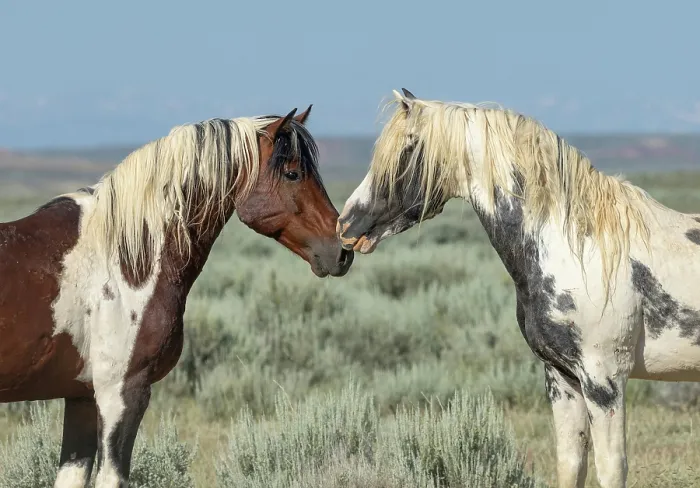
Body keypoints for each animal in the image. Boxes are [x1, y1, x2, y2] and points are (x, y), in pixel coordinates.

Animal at [337, 88, 700, 488]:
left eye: (408, 147)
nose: (346, 224)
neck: (578, 249)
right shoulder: (563, 377)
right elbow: (571, 463)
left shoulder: (604, 379)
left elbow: (610, 468)